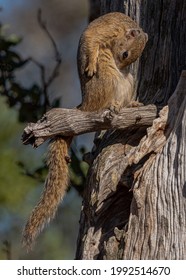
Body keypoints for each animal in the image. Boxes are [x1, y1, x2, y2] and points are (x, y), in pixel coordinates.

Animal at [21, 12, 147, 250]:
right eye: (125, 53)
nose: (121, 63)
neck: (124, 28)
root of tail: (85, 105)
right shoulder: (105, 30)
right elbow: (91, 40)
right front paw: (88, 65)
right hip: (107, 75)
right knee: (102, 100)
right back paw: (112, 105)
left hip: (127, 80)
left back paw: (130, 104)